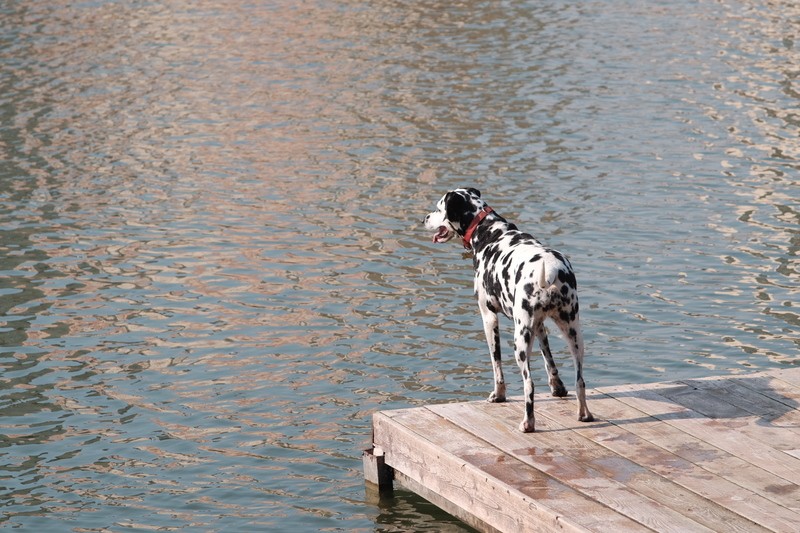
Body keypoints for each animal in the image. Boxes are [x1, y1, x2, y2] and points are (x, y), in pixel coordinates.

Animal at [424, 187, 592, 432]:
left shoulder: (489, 318)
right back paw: (584, 414)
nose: (425, 218)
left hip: (520, 341)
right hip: (573, 335)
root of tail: (552, 272)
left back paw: (528, 423)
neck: (489, 232)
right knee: (580, 380)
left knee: (529, 384)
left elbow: (497, 365)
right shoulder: (539, 326)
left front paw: (498, 394)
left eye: (438, 208)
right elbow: (549, 360)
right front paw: (557, 388)